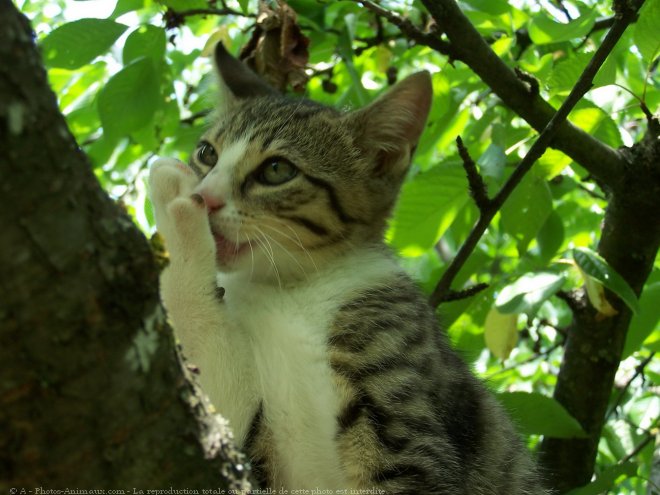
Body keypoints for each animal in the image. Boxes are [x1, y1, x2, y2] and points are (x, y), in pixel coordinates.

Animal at [150, 43, 548, 495]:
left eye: (276, 170)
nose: (206, 196)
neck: (284, 290)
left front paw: (174, 211)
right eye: (207, 154)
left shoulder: (402, 421)